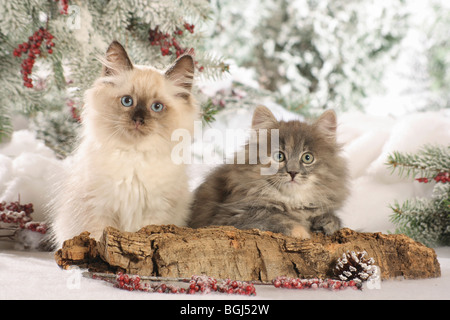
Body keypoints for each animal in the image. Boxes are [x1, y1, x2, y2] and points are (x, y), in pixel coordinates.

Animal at [50, 41, 198, 246]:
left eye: (157, 107)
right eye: (127, 101)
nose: (138, 120)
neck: (133, 157)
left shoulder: (155, 213)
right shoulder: (99, 210)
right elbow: (98, 243)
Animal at [188, 105, 350, 238]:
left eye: (307, 158)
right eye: (279, 156)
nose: (292, 172)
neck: (291, 202)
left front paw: (328, 222)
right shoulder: (228, 218)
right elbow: (273, 217)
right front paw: (300, 232)